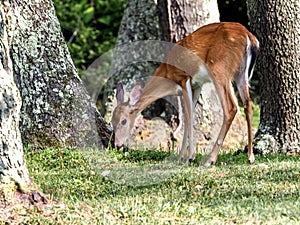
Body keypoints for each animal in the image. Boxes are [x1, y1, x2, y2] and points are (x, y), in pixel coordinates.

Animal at [111, 22, 258, 166]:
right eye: (112, 121)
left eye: (124, 121)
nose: (117, 145)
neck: (168, 75)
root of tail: (248, 36)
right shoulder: (197, 85)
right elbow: (188, 117)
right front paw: (181, 157)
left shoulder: (184, 79)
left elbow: (189, 116)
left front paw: (190, 157)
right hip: (241, 74)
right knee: (248, 105)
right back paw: (250, 157)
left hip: (220, 70)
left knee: (231, 107)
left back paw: (210, 160)